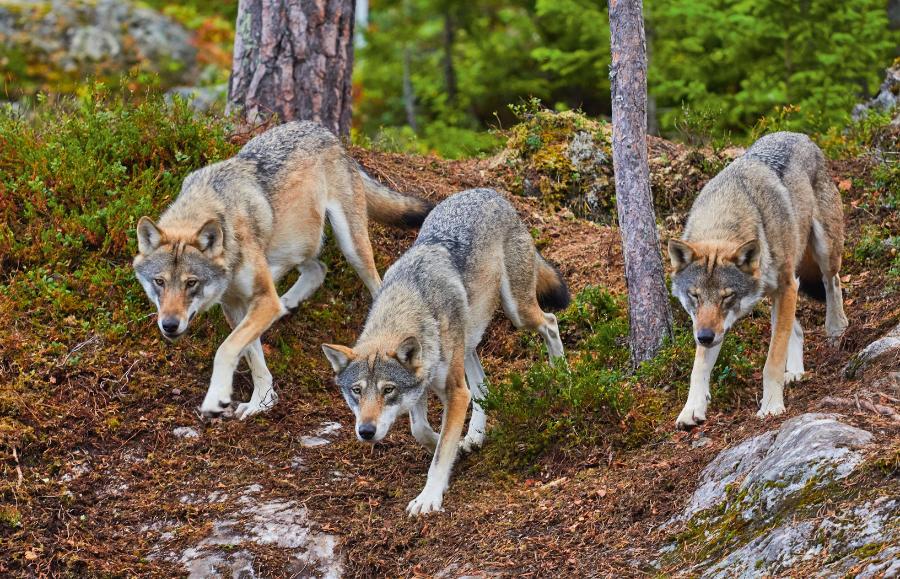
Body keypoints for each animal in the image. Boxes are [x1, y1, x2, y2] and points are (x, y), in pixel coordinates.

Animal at [131, 122, 436, 422]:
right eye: (159, 282)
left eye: (191, 283)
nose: (169, 325)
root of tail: (325, 132)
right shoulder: (236, 305)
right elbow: (253, 356)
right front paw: (262, 402)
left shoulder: (262, 300)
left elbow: (226, 349)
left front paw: (216, 399)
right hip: (294, 245)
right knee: (318, 269)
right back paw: (288, 303)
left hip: (350, 247)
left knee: (373, 284)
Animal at [320, 189, 568, 516]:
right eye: (356, 391)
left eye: (388, 390)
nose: (366, 431)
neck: (409, 302)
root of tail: (489, 193)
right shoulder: (422, 388)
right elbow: (421, 431)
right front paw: (455, 445)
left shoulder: (455, 392)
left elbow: (439, 454)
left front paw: (429, 497)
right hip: (469, 341)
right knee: (483, 387)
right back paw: (474, 436)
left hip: (518, 313)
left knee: (550, 323)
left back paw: (562, 375)